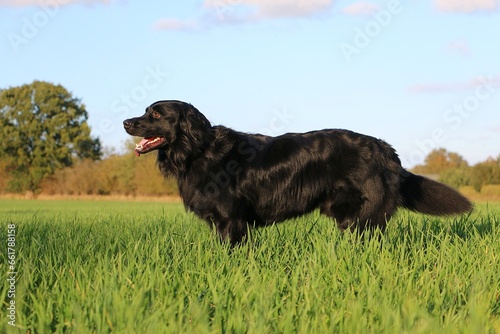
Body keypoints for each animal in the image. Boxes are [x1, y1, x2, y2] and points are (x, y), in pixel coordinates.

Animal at [124, 100, 472, 244]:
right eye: (145, 110)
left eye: (157, 114)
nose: (126, 122)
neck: (199, 150)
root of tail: (388, 152)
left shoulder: (231, 220)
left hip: (365, 217)